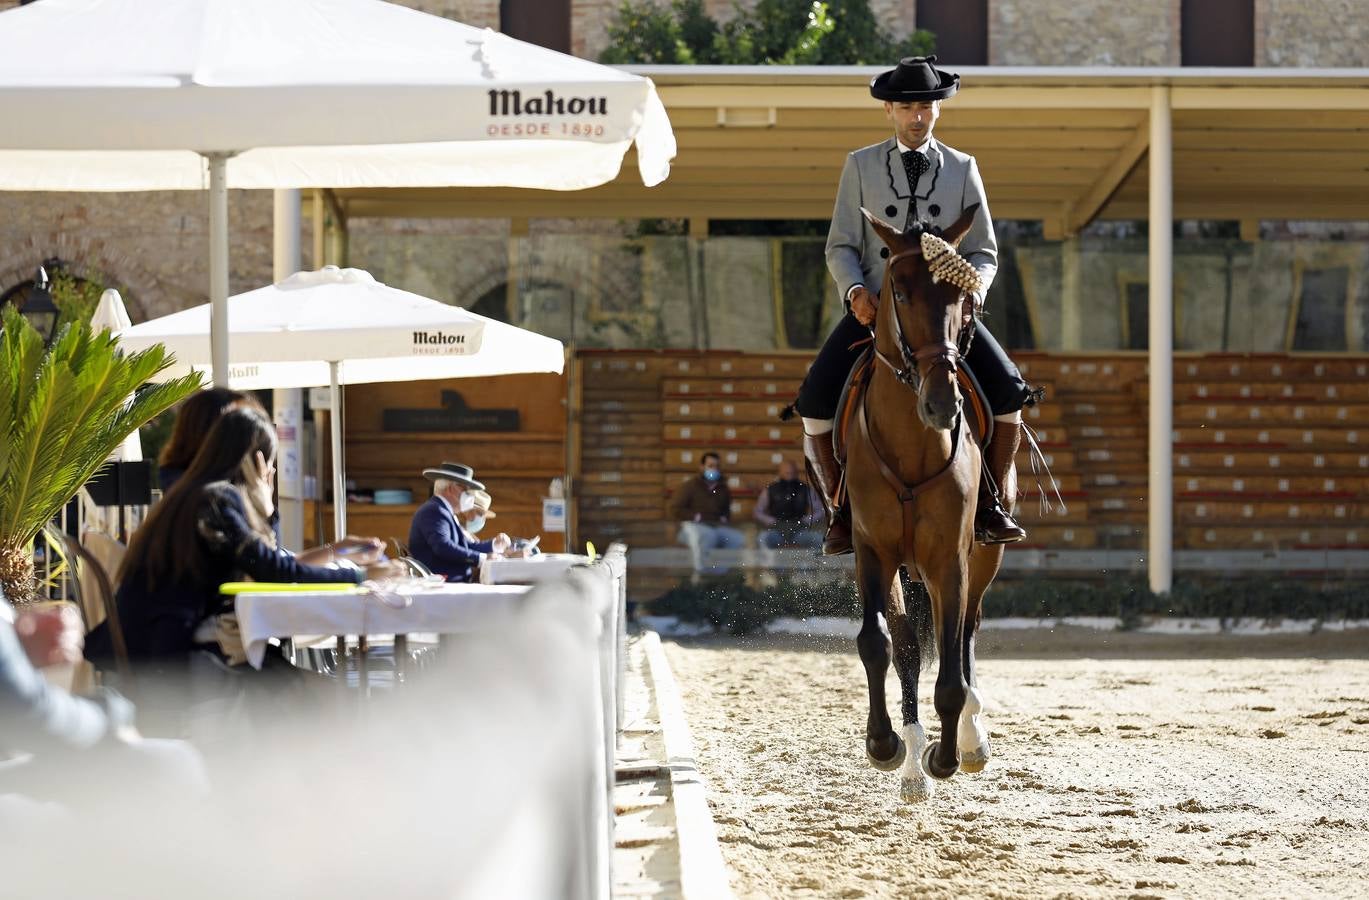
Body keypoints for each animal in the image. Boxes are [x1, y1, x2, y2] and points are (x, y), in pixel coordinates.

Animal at [848, 204, 1013, 800]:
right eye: (899, 289)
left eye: (963, 296)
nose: (942, 403)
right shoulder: (872, 552)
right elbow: (880, 643)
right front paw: (886, 745)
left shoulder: (950, 557)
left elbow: (951, 665)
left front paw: (947, 756)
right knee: (909, 646)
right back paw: (913, 757)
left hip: (983, 555)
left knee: (964, 635)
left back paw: (967, 740)